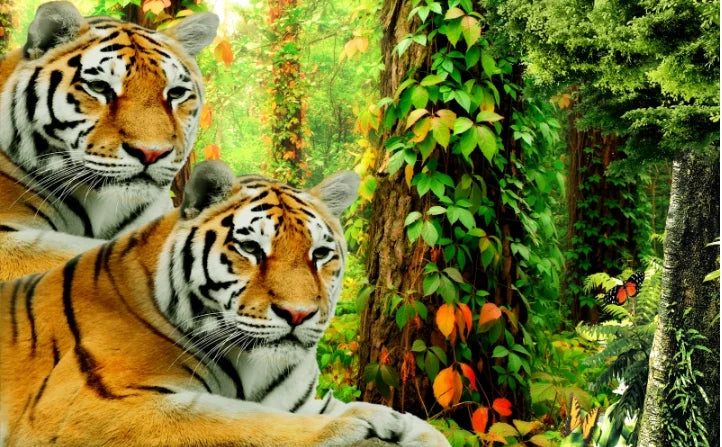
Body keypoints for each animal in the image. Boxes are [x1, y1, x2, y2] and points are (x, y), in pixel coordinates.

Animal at [0, 160, 450, 446]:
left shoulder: (307, 400)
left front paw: (409, 427)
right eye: (251, 248)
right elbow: (245, 421)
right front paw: (363, 420)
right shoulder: (92, 406)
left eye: (320, 254)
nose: (298, 314)